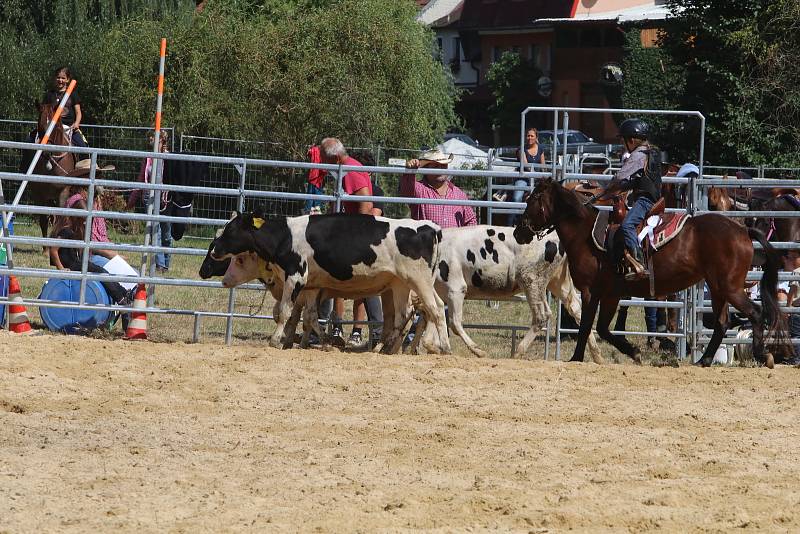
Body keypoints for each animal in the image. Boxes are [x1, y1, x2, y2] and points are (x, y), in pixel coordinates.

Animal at [209, 213, 450, 356]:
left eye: (230, 230)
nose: (213, 250)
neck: (285, 237)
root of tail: (430, 228)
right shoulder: (312, 286)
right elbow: (309, 316)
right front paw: (324, 341)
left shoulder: (296, 276)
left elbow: (285, 312)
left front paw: (276, 340)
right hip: (401, 284)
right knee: (403, 315)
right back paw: (385, 348)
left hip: (419, 281)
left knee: (436, 308)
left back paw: (444, 347)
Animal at [412, 226, 600, 364]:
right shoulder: (439, 295)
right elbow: (434, 320)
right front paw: (434, 348)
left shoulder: (455, 289)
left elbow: (454, 323)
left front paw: (479, 351)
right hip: (558, 282)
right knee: (577, 310)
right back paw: (596, 356)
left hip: (532, 281)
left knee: (542, 315)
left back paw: (517, 353)